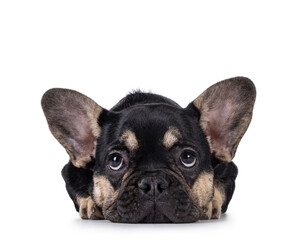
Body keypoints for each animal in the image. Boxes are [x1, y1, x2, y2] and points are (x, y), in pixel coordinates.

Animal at [40, 77, 255, 223]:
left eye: (187, 157)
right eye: (115, 161)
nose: (153, 183)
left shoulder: (229, 170)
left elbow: (219, 186)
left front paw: (209, 202)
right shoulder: (70, 171)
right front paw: (91, 202)